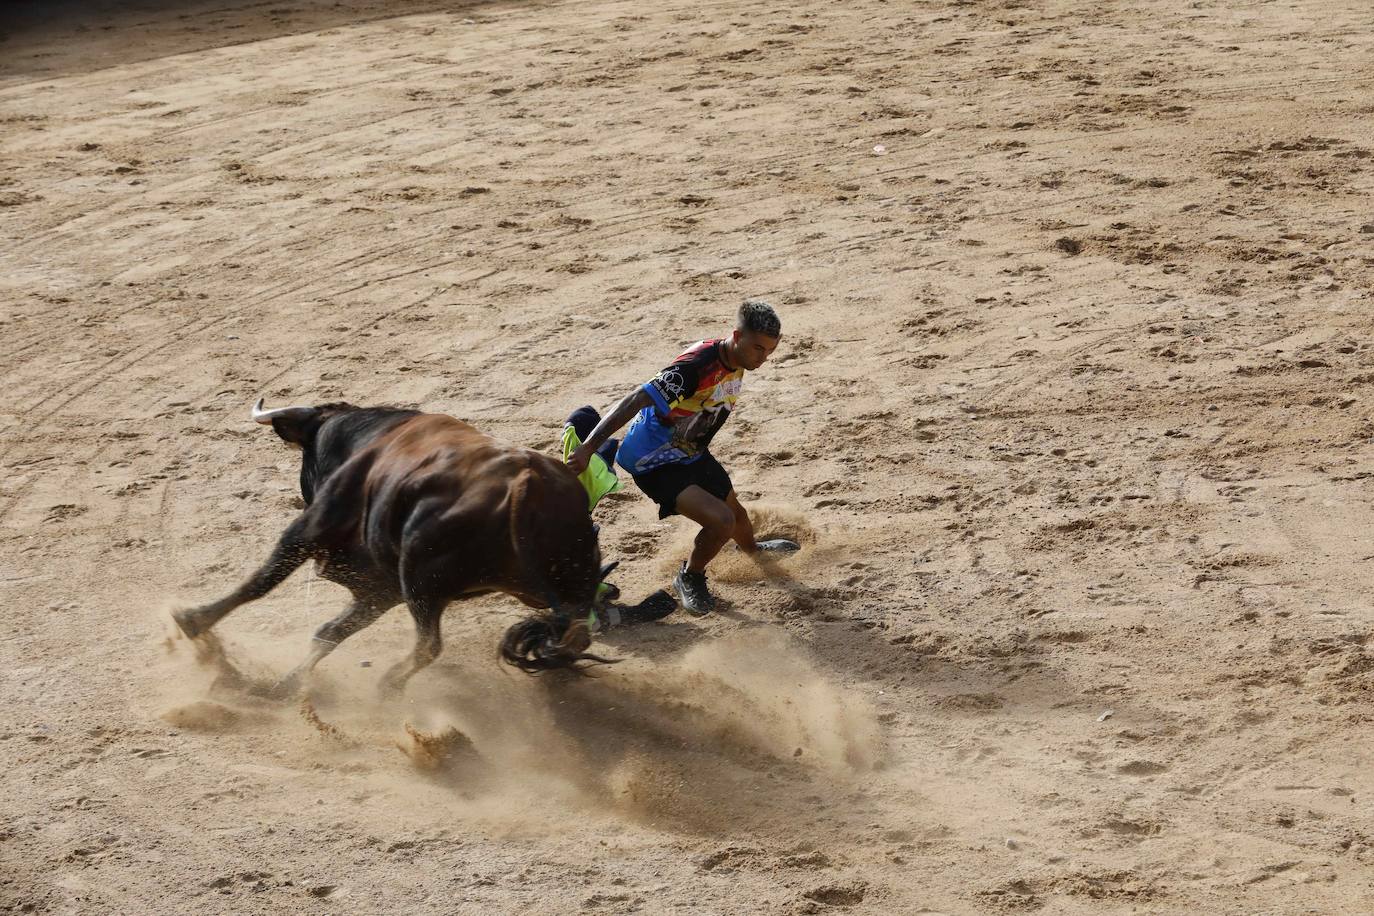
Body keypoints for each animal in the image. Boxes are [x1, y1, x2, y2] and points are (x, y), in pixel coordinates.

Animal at [175, 398, 612, 694]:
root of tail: (526, 482)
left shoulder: (315, 526)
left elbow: (263, 580)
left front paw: (191, 620)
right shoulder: (381, 588)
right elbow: (330, 632)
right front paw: (287, 686)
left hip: (420, 579)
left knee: (429, 645)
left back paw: (389, 686)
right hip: (568, 579)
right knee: (575, 631)